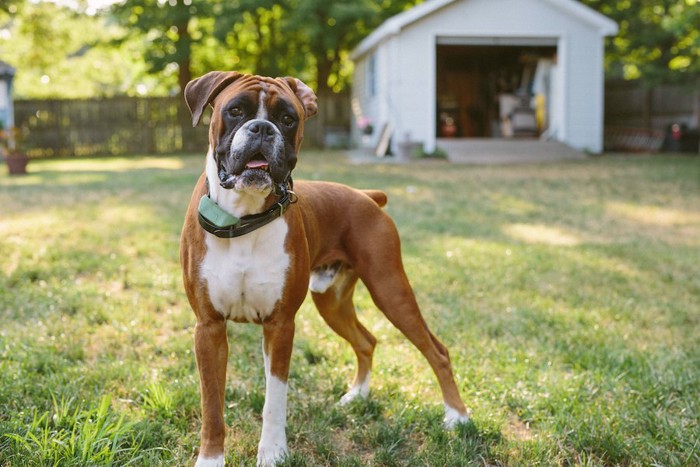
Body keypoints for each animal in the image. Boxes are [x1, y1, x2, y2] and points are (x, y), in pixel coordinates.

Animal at [179, 71, 470, 466]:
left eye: (288, 119)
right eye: (235, 111)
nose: (262, 128)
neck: (243, 218)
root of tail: (366, 195)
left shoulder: (280, 325)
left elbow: (274, 399)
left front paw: (273, 452)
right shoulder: (208, 328)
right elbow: (212, 405)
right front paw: (211, 458)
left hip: (390, 290)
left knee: (436, 350)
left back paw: (457, 416)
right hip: (331, 301)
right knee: (367, 340)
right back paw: (357, 395)